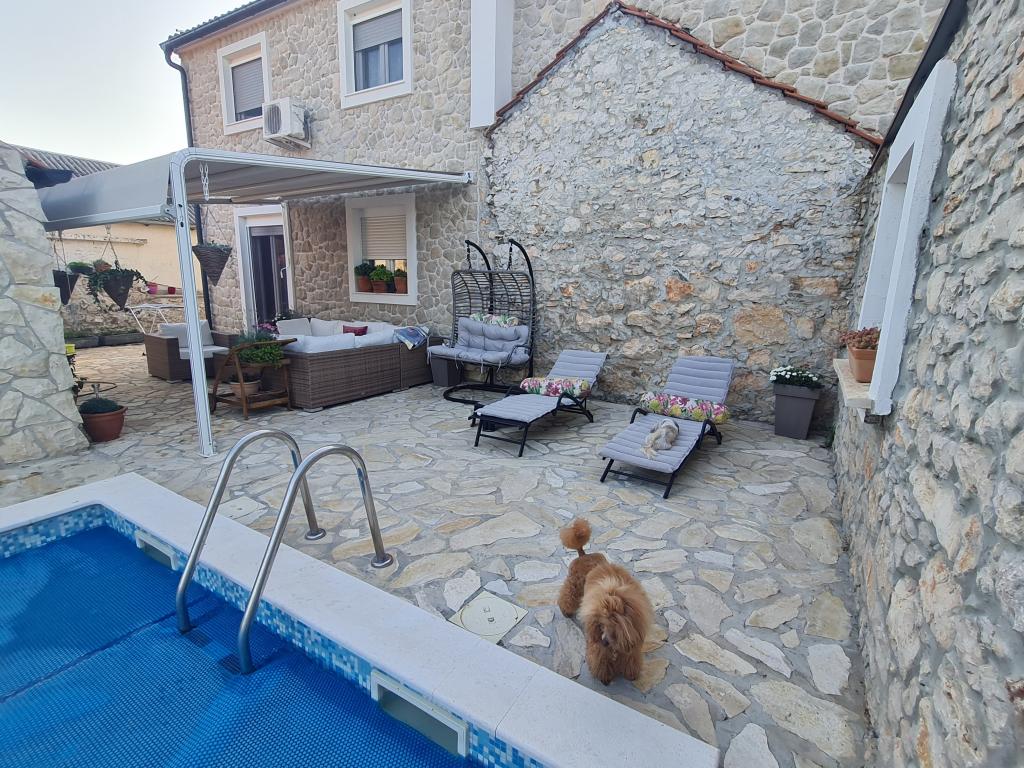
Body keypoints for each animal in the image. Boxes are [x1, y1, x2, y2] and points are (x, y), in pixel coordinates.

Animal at [557, 518, 653, 685]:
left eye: (615, 626)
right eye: (601, 624)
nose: (604, 642)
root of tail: (583, 554)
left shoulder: (631, 639)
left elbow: (630, 657)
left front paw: (631, 674)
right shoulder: (598, 641)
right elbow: (601, 659)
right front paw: (605, 677)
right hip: (575, 584)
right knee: (567, 596)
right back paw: (566, 611)